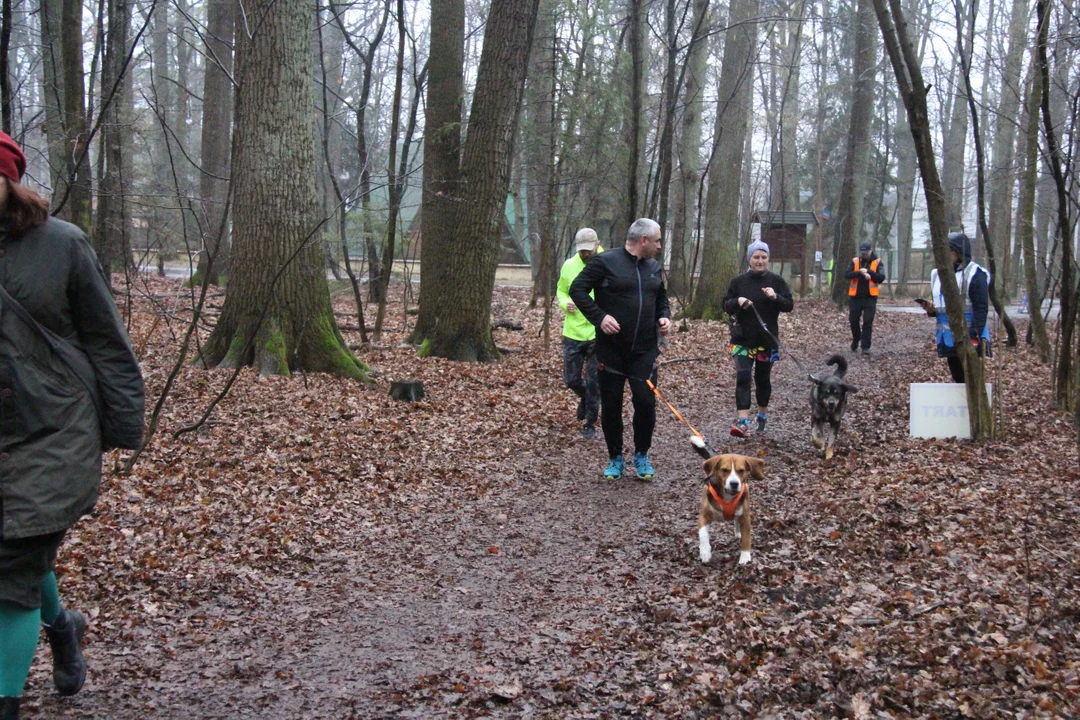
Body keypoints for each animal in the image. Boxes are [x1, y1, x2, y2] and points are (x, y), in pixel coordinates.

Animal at [686, 436, 764, 565]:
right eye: (724, 470)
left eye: (741, 471)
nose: (734, 483)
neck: (727, 497)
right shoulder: (704, 516)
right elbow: (703, 534)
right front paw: (705, 552)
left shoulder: (745, 517)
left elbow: (746, 538)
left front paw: (745, 556)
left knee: (737, 522)